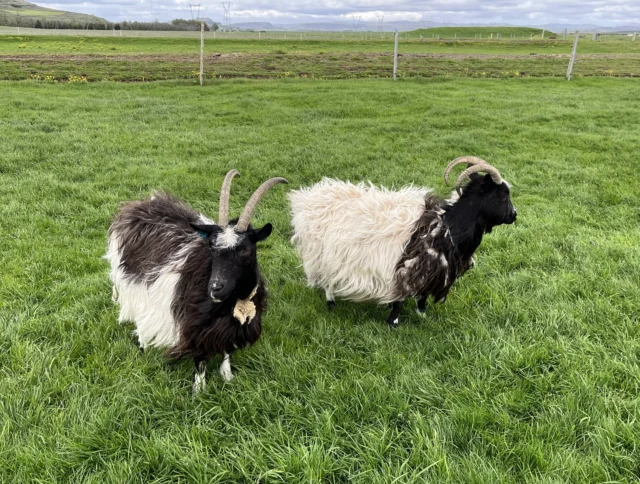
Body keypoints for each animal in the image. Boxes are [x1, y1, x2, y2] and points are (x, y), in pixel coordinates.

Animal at [106, 172, 286, 392]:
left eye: (245, 250)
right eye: (211, 247)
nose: (215, 288)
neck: (235, 302)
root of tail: (136, 207)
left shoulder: (229, 326)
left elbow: (227, 351)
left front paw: (227, 376)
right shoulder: (196, 324)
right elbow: (200, 359)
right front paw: (199, 390)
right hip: (131, 285)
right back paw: (143, 345)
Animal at [288, 157, 516, 328]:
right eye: (502, 196)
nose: (514, 215)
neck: (447, 225)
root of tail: (306, 198)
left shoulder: (431, 268)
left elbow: (422, 296)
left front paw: (422, 314)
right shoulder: (404, 267)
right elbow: (399, 298)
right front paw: (393, 322)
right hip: (321, 253)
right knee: (326, 280)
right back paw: (331, 303)